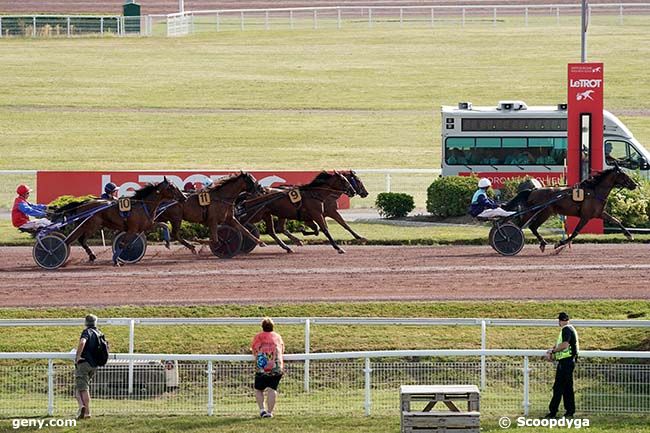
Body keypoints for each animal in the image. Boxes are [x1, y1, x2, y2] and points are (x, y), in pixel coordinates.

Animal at [52, 177, 185, 264]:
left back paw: (91, 256)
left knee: (80, 240)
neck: (142, 205)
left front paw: (167, 242)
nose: (184, 197)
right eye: (172, 187)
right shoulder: (132, 229)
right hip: (90, 225)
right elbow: (123, 244)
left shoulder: (147, 225)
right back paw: (54, 251)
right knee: (73, 240)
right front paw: (117, 260)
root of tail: (82, 203)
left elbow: (164, 225)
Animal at [504, 166, 636, 253]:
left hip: (541, 213)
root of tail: (533, 190)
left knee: (530, 226)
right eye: (624, 175)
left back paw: (542, 243)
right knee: (525, 226)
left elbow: (616, 220)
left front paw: (629, 235)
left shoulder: (599, 214)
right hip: (540, 212)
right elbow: (575, 232)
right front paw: (559, 244)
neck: (594, 191)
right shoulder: (585, 216)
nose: (635, 185)